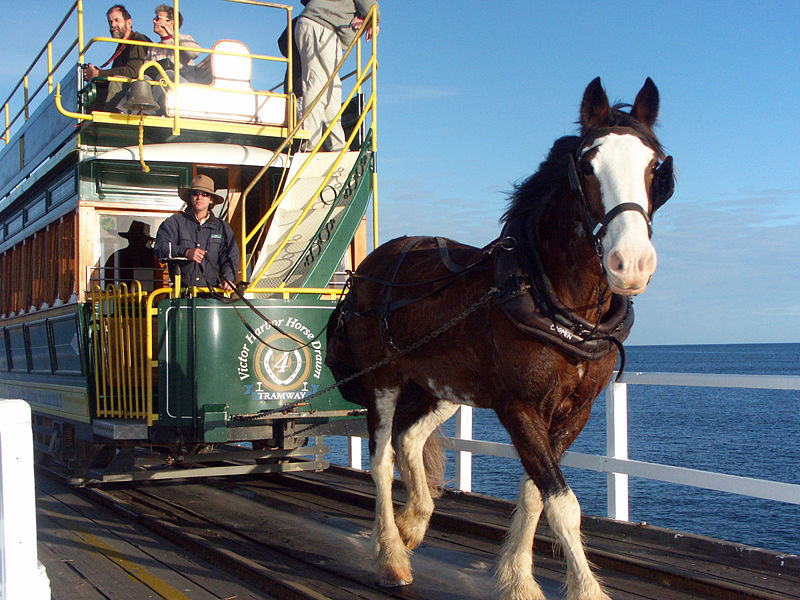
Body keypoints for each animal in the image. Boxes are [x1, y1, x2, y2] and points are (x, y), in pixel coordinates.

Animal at [326, 78, 676, 600]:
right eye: (587, 164)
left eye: (655, 166)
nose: (630, 263)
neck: (553, 297)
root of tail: (370, 266)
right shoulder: (518, 406)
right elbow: (562, 503)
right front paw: (579, 588)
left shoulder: (575, 411)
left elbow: (536, 493)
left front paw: (516, 577)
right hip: (384, 379)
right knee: (382, 460)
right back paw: (391, 555)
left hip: (441, 387)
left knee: (410, 440)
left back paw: (415, 521)